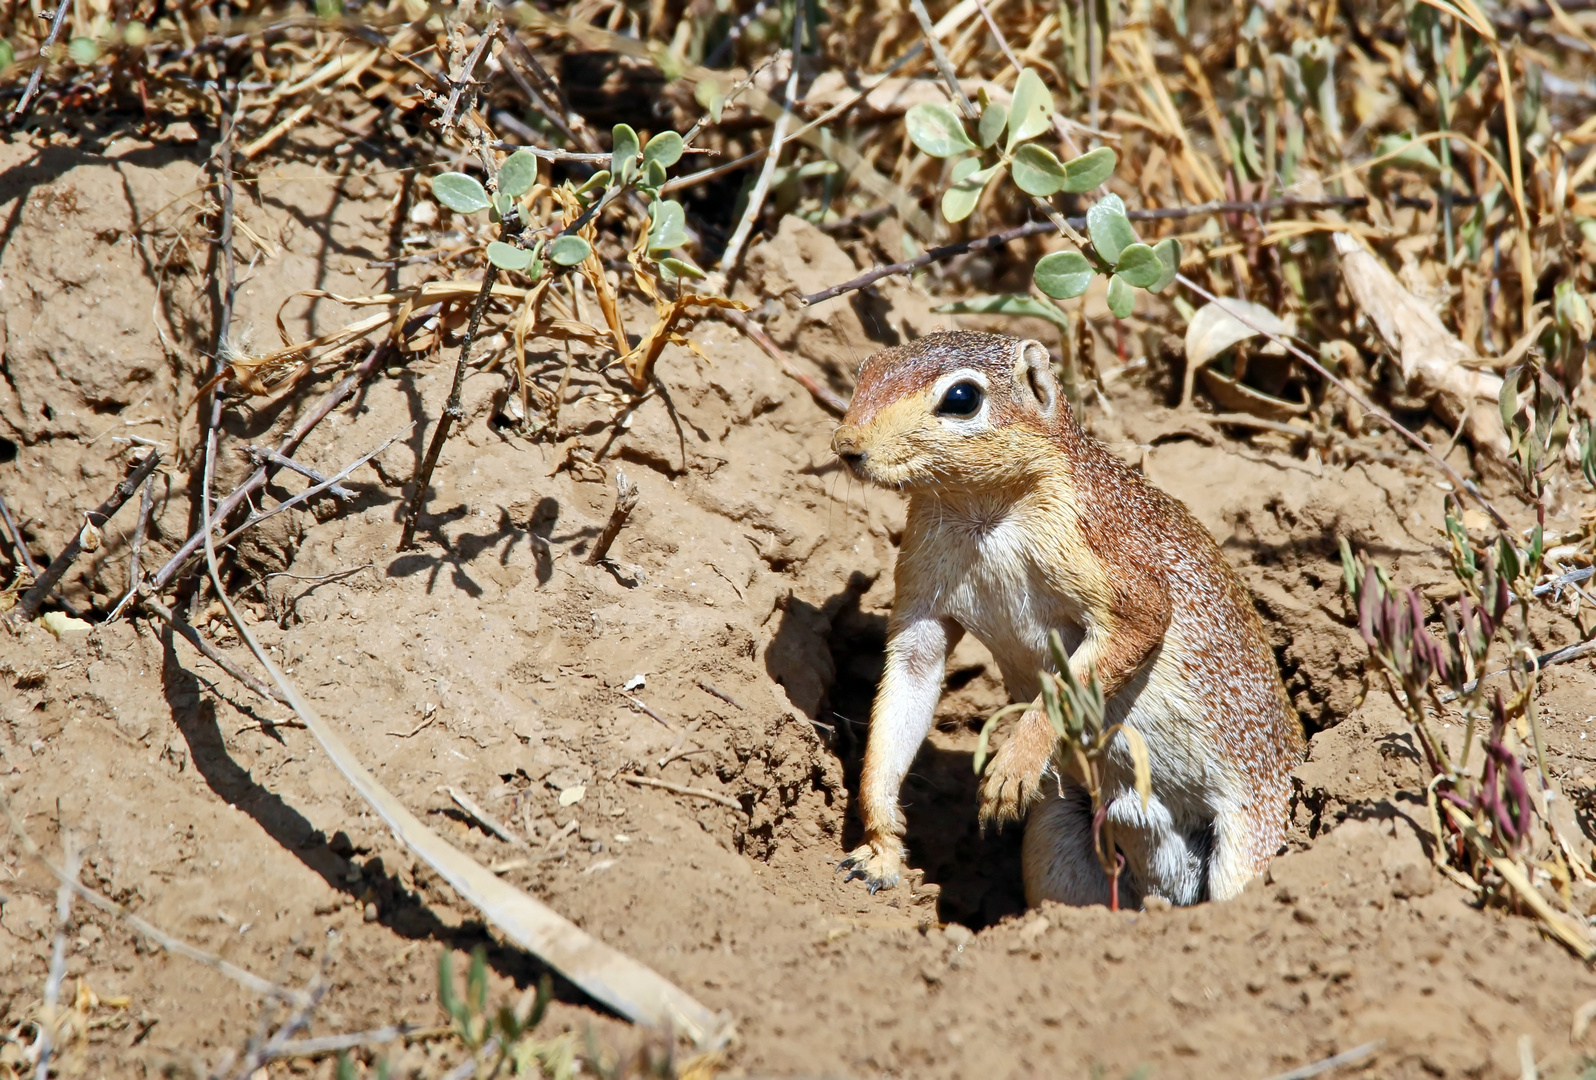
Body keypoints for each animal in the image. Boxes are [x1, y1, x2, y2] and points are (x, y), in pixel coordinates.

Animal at [829, 328, 1302, 899]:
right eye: (866, 370)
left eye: (962, 398)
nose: (846, 445)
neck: (982, 513)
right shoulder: (921, 590)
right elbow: (905, 692)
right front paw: (879, 847)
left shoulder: (1111, 565)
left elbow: (1093, 662)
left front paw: (1013, 763)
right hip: (1054, 835)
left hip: (1253, 836)